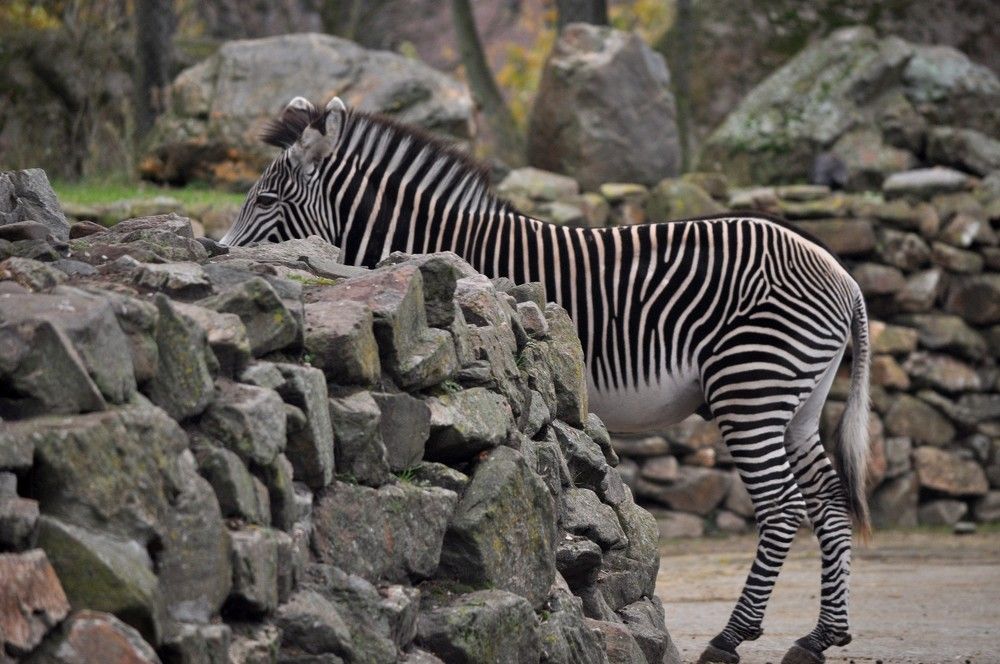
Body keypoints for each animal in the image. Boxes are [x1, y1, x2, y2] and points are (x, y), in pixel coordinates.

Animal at [221, 96, 871, 664]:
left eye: (268, 197)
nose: (218, 250)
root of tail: (843, 276)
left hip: (752, 386)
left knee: (785, 507)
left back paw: (731, 638)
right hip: (798, 402)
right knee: (829, 500)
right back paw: (822, 636)